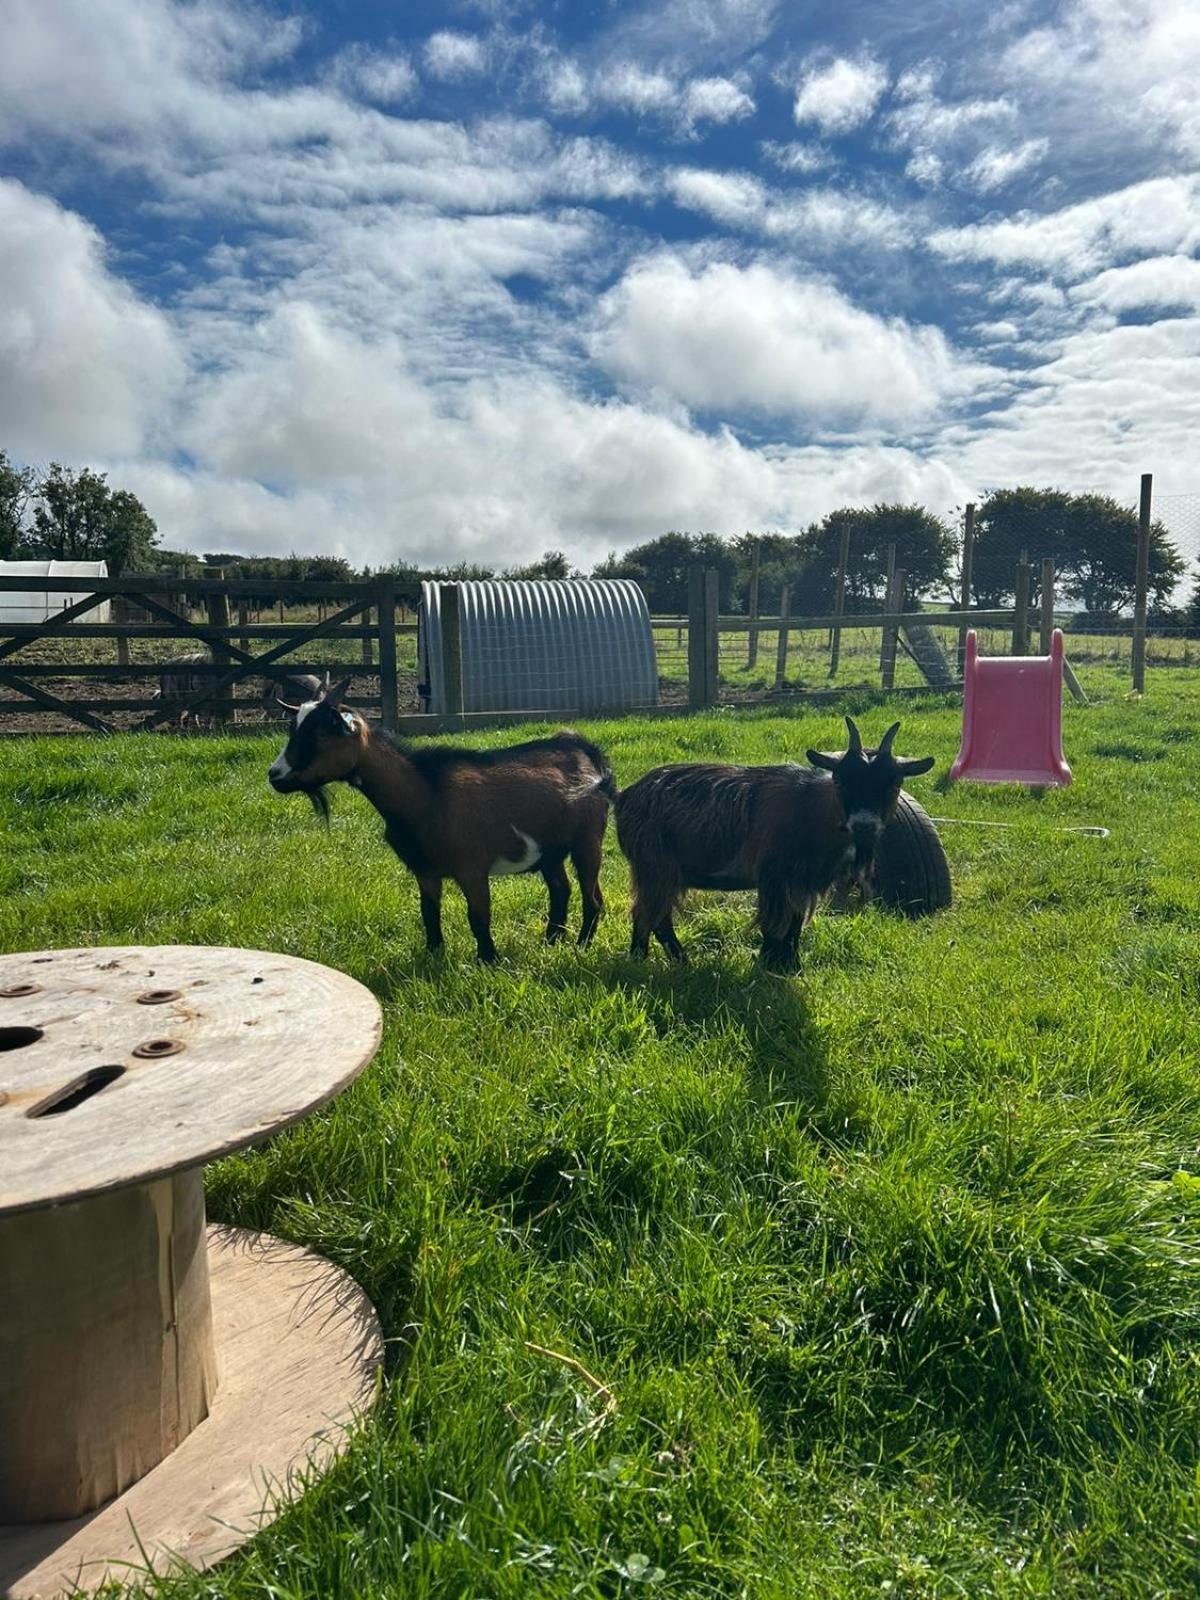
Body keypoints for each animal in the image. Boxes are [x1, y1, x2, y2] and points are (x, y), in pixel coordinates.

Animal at [267, 678, 614, 960]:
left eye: (321, 733)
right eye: (293, 729)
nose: (275, 774)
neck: (424, 794)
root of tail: (584, 750)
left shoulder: (471, 868)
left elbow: (478, 918)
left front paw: (488, 961)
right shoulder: (425, 871)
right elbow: (429, 914)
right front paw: (434, 956)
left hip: (588, 841)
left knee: (593, 897)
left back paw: (581, 946)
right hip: (550, 851)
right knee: (561, 889)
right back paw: (551, 941)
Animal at [614, 720, 934, 966]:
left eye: (894, 784)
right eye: (840, 781)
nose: (864, 826)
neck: (810, 808)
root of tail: (624, 796)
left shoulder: (804, 881)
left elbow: (794, 925)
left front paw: (791, 966)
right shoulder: (774, 876)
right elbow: (774, 926)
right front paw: (769, 963)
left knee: (651, 915)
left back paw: (652, 959)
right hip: (656, 866)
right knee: (650, 915)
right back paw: (662, 960)